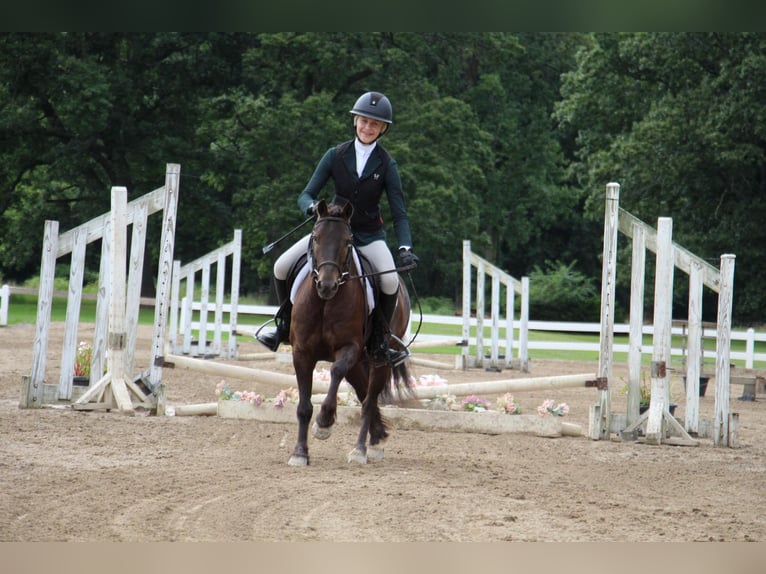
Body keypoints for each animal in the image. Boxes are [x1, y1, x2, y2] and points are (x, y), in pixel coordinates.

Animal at [290, 200, 414, 466]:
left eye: (348, 241)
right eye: (315, 237)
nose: (326, 285)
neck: (325, 303)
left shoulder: (349, 348)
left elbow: (335, 372)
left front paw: (324, 423)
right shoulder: (301, 352)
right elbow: (304, 406)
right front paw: (300, 453)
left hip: (380, 360)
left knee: (368, 401)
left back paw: (361, 450)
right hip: (358, 364)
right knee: (363, 392)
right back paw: (376, 438)